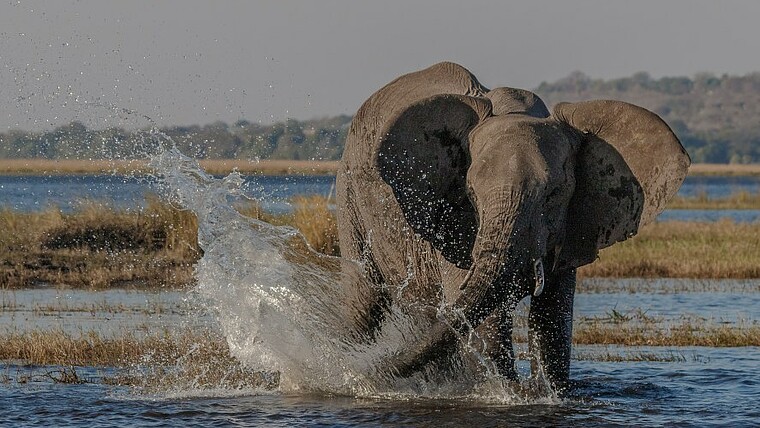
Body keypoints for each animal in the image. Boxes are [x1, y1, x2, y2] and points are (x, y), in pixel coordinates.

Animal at [336, 61, 692, 392]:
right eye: (471, 193)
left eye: (554, 194)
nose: (364, 375)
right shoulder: (453, 220)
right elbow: (486, 320)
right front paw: (507, 394)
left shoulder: (573, 224)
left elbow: (553, 321)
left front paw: (546, 392)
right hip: (348, 192)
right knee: (364, 301)